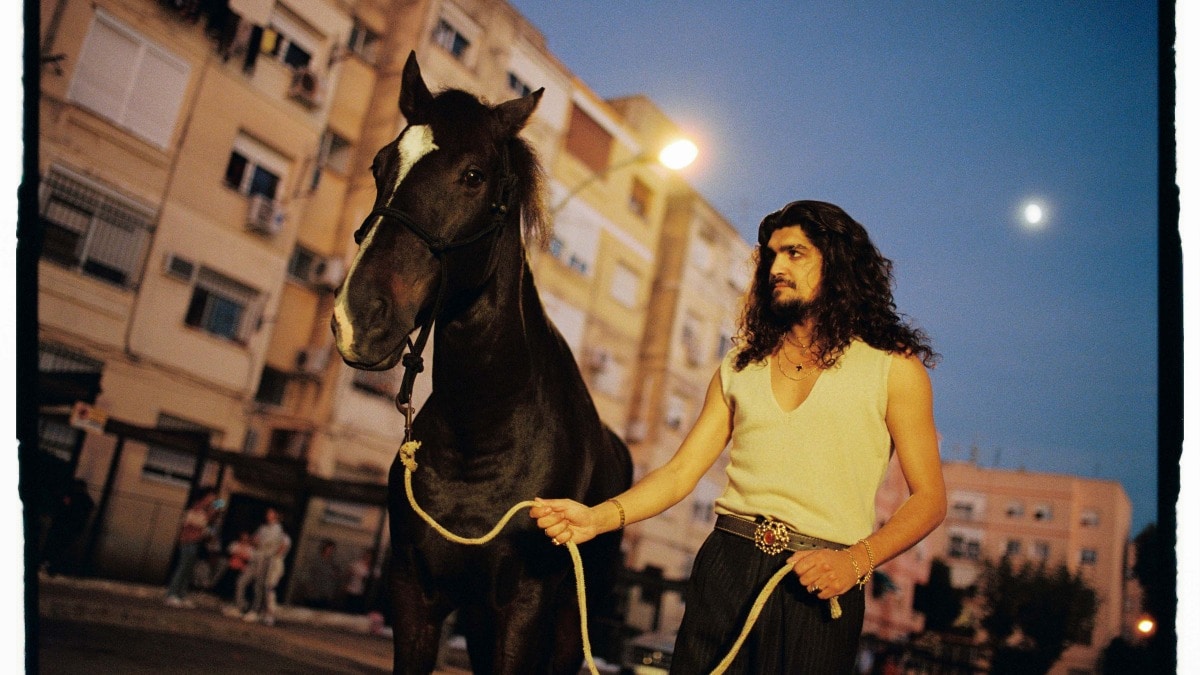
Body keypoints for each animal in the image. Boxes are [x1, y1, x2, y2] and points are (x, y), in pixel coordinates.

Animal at [328, 53, 628, 672]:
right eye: (379, 164)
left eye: (473, 176)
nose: (358, 315)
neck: (483, 429)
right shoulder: (414, 596)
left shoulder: (524, 610)